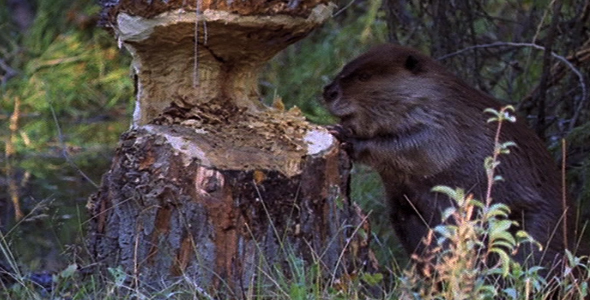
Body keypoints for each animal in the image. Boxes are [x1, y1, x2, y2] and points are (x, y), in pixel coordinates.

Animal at [326, 44, 584, 274]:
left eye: (363, 76)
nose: (327, 92)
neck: (433, 97)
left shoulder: (444, 126)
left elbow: (417, 148)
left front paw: (345, 135)